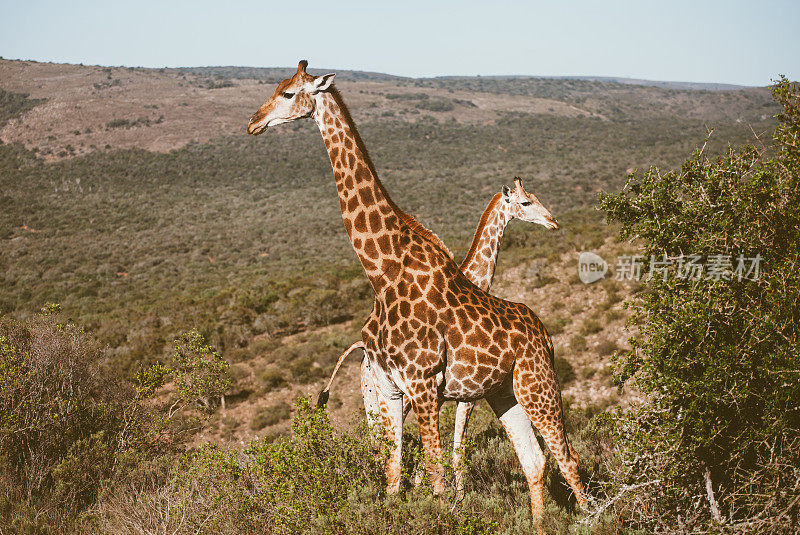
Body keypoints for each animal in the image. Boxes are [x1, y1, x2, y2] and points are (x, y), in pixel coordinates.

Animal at [316, 177, 560, 498]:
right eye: (526, 202)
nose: (552, 221)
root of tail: (361, 350)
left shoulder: (443, 393)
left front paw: (429, 489)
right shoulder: (460, 394)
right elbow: (455, 446)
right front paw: (456, 494)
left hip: (373, 394)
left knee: (376, 440)